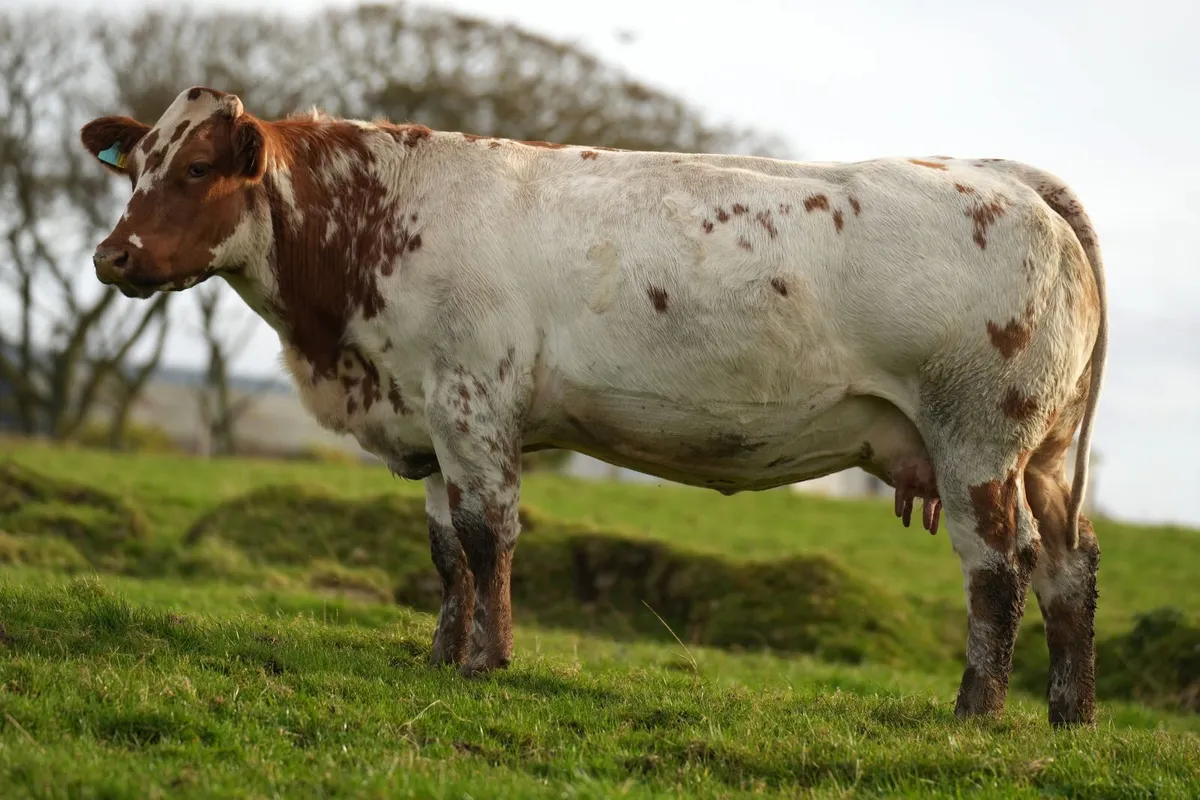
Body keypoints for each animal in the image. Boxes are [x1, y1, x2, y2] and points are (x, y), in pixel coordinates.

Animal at [80, 87, 1107, 728]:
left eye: (199, 169)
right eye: (135, 167)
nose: (111, 256)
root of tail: (1008, 177)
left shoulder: (471, 399)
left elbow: (487, 536)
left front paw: (486, 662)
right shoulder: (429, 412)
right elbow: (445, 547)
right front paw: (440, 653)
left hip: (978, 439)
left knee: (1000, 569)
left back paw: (975, 711)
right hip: (1048, 456)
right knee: (1070, 566)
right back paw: (1070, 715)